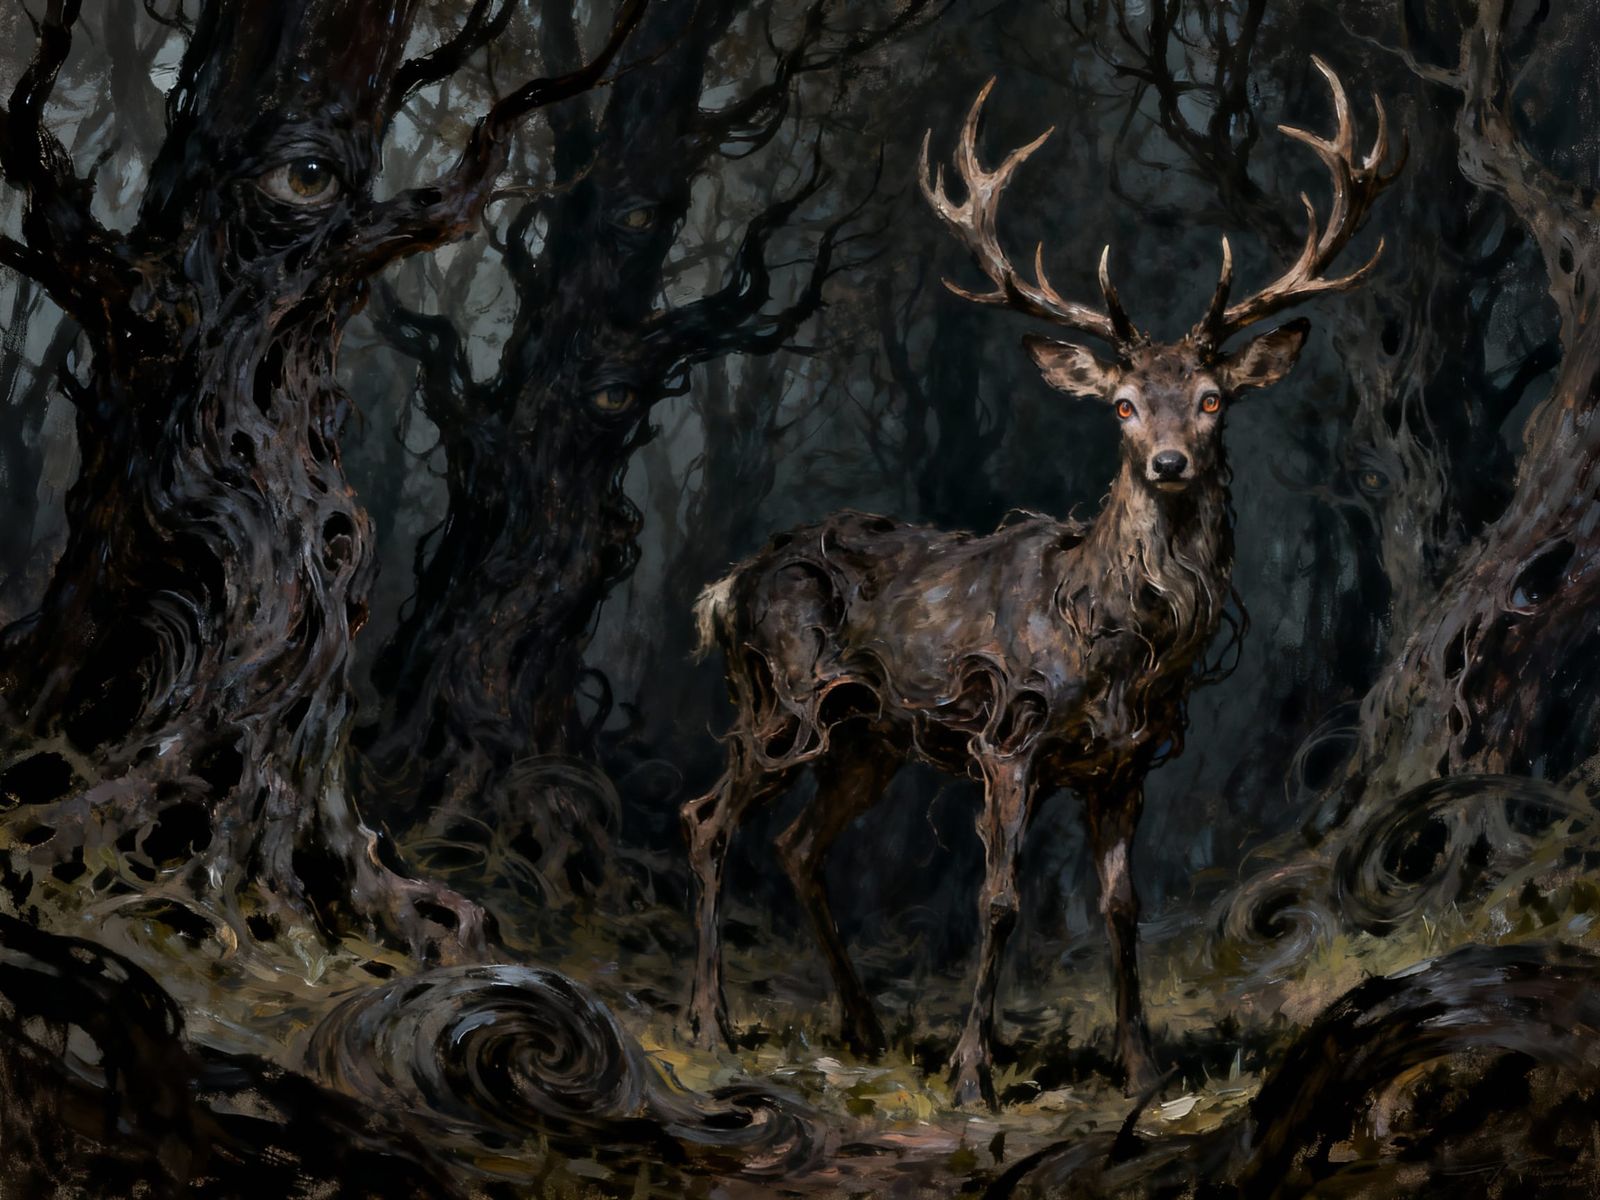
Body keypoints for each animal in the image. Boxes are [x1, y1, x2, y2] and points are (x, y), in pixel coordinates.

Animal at [681, 58, 1399, 1107]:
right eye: (1125, 404)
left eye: (1213, 400)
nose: (1171, 464)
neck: (1115, 638)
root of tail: (727, 587)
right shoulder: (1006, 737)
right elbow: (999, 900)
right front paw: (973, 1073)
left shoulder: (1126, 763)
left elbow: (1122, 905)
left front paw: (1142, 1067)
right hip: (779, 699)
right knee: (705, 820)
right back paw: (710, 1022)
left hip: (867, 738)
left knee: (796, 845)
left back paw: (863, 1025)